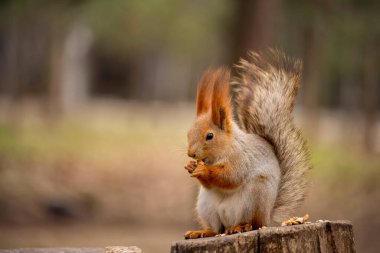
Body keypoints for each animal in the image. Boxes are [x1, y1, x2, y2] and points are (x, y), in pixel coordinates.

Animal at [184, 49, 312, 239]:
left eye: (209, 136)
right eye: (188, 133)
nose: (191, 154)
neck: (224, 149)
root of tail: (268, 217)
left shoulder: (242, 159)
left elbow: (230, 176)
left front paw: (203, 170)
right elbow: (210, 184)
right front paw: (191, 166)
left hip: (255, 196)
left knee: (252, 223)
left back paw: (240, 227)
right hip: (206, 206)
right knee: (217, 229)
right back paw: (203, 231)